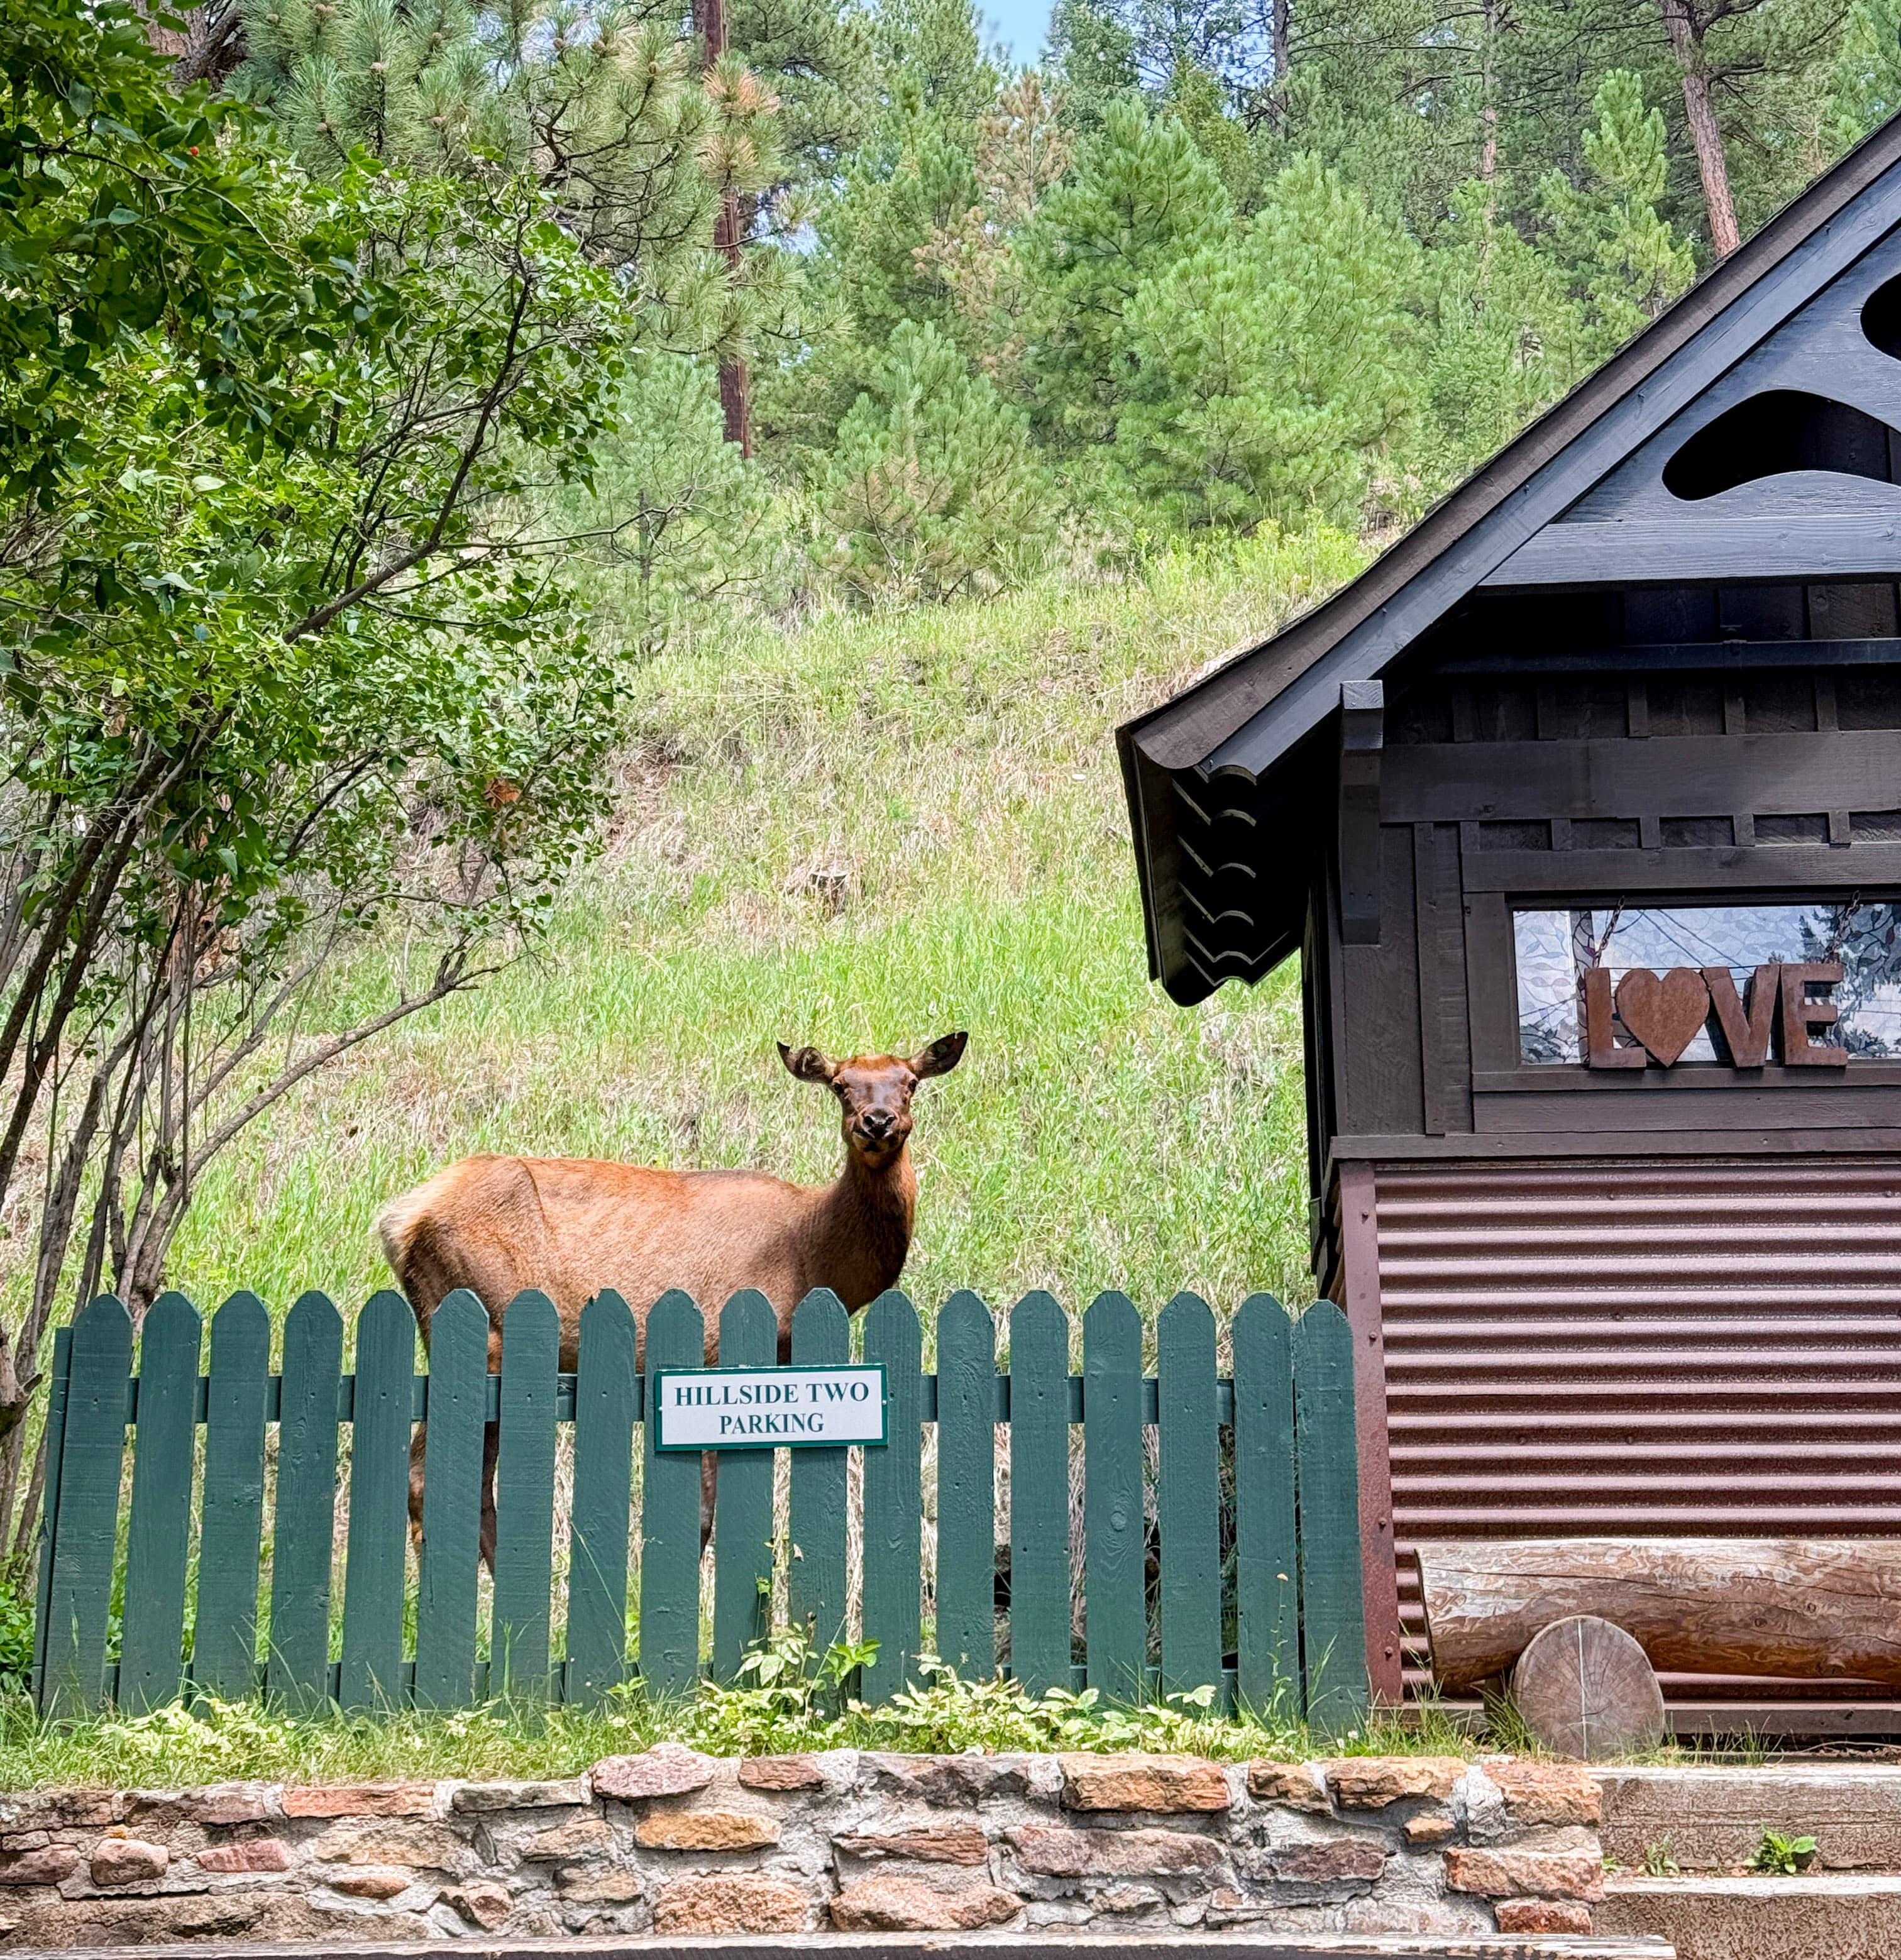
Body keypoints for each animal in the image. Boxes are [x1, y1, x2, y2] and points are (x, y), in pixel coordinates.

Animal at [377, 1032, 967, 1565]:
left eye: (910, 1082)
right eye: (842, 1086)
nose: (877, 1121)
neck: (812, 1253)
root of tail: (398, 1220)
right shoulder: (713, 1348)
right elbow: (706, 1511)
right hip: (485, 1325)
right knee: (429, 1475)